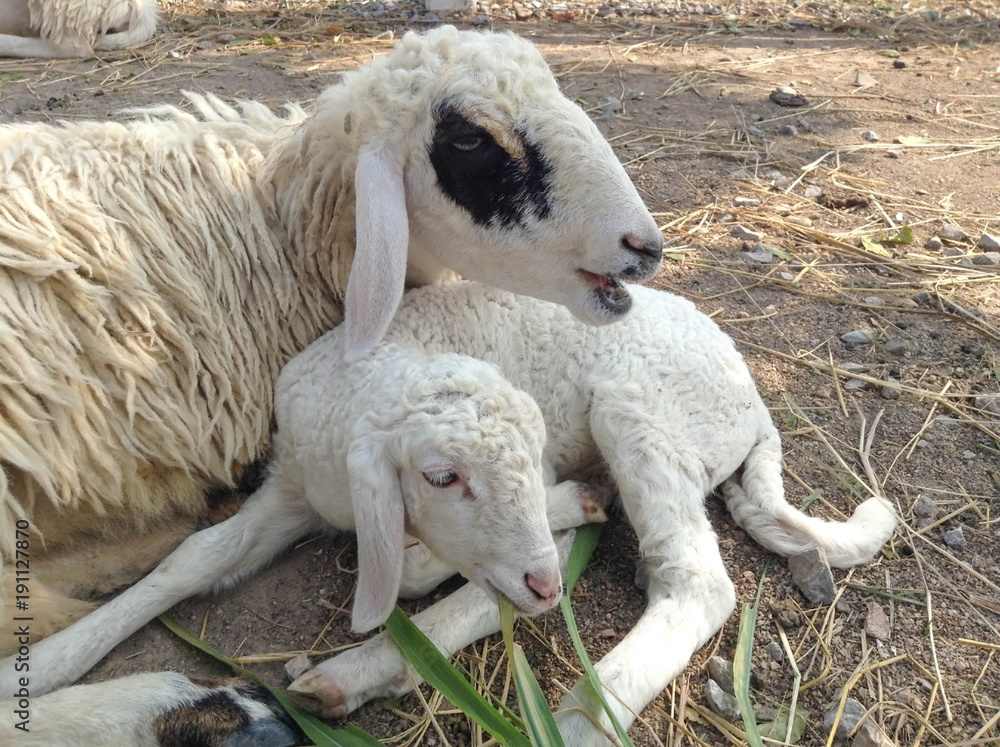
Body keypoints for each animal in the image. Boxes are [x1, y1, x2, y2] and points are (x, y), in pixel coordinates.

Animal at [1, 280, 896, 746]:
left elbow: (415, 566)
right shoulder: (294, 483)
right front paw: (45, 666)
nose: (542, 579)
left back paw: (578, 711)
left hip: (642, 414)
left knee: (693, 581)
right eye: (441, 475)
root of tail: (751, 393)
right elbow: (189, 559)